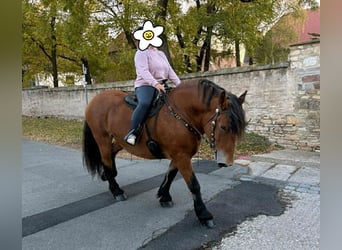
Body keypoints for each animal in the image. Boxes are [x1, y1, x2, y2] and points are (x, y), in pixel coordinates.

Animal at [84, 78, 247, 227]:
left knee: (110, 155)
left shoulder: (179, 155)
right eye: (224, 127)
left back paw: (107, 176)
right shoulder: (181, 156)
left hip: (119, 140)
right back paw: (116, 190)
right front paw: (203, 214)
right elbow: (194, 185)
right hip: (102, 138)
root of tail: (95, 100)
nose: (227, 163)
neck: (183, 114)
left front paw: (164, 196)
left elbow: (170, 175)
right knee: (105, 158)